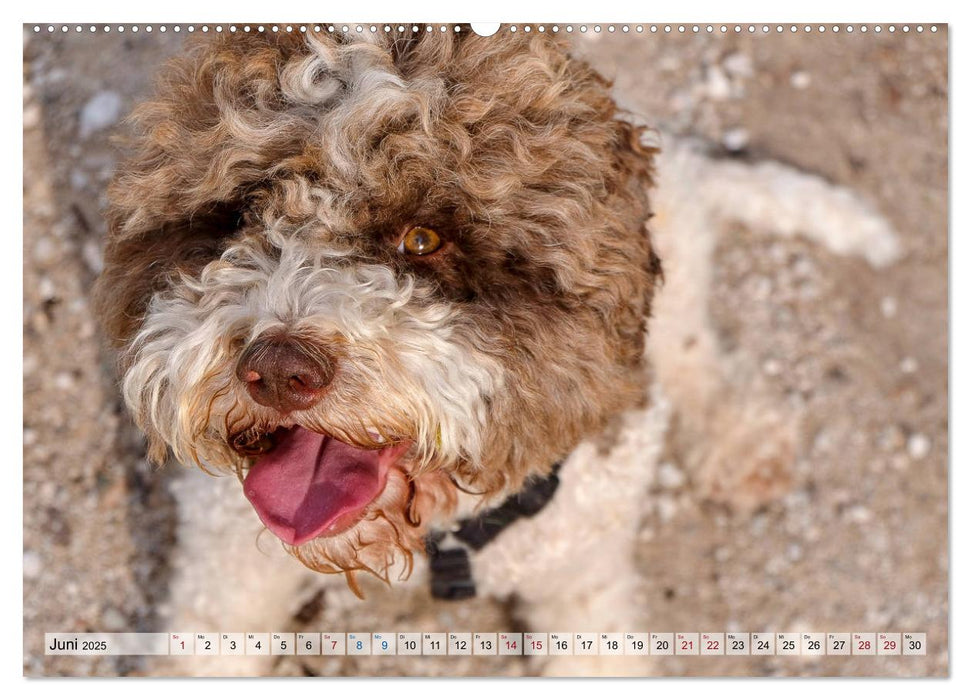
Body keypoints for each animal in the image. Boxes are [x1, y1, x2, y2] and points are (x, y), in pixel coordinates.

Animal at [95, 28, 900, 680]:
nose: (278, 371)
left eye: (422, 239)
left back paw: (742, 446)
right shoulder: (220, 574)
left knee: (696, 358)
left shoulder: (584, 583)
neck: (436, 531)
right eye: (239, 216)